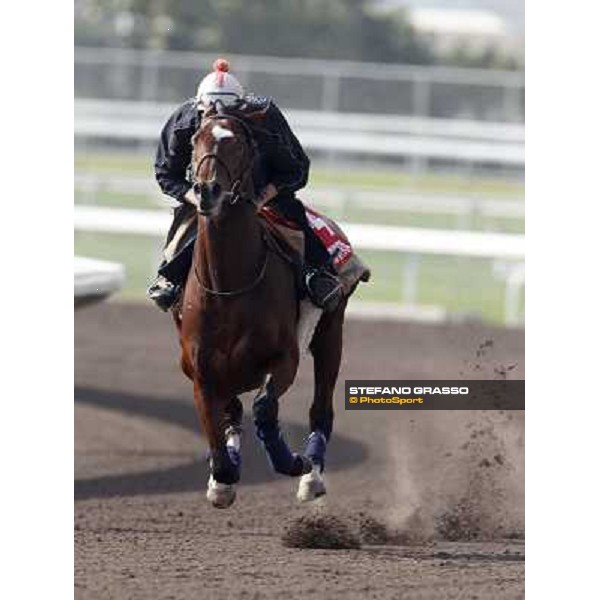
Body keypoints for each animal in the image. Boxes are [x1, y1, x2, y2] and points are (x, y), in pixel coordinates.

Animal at [176, 106, 352, 506]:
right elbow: (218, 421)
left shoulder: (284, 357)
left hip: (330, 332)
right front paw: (221, 479)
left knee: (321, 408)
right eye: (195, 140)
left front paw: (294, 461)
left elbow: (264, 406)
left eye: (240, 145)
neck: (228, 287)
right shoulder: (200, 370)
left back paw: (312, 477)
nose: (207, 190)